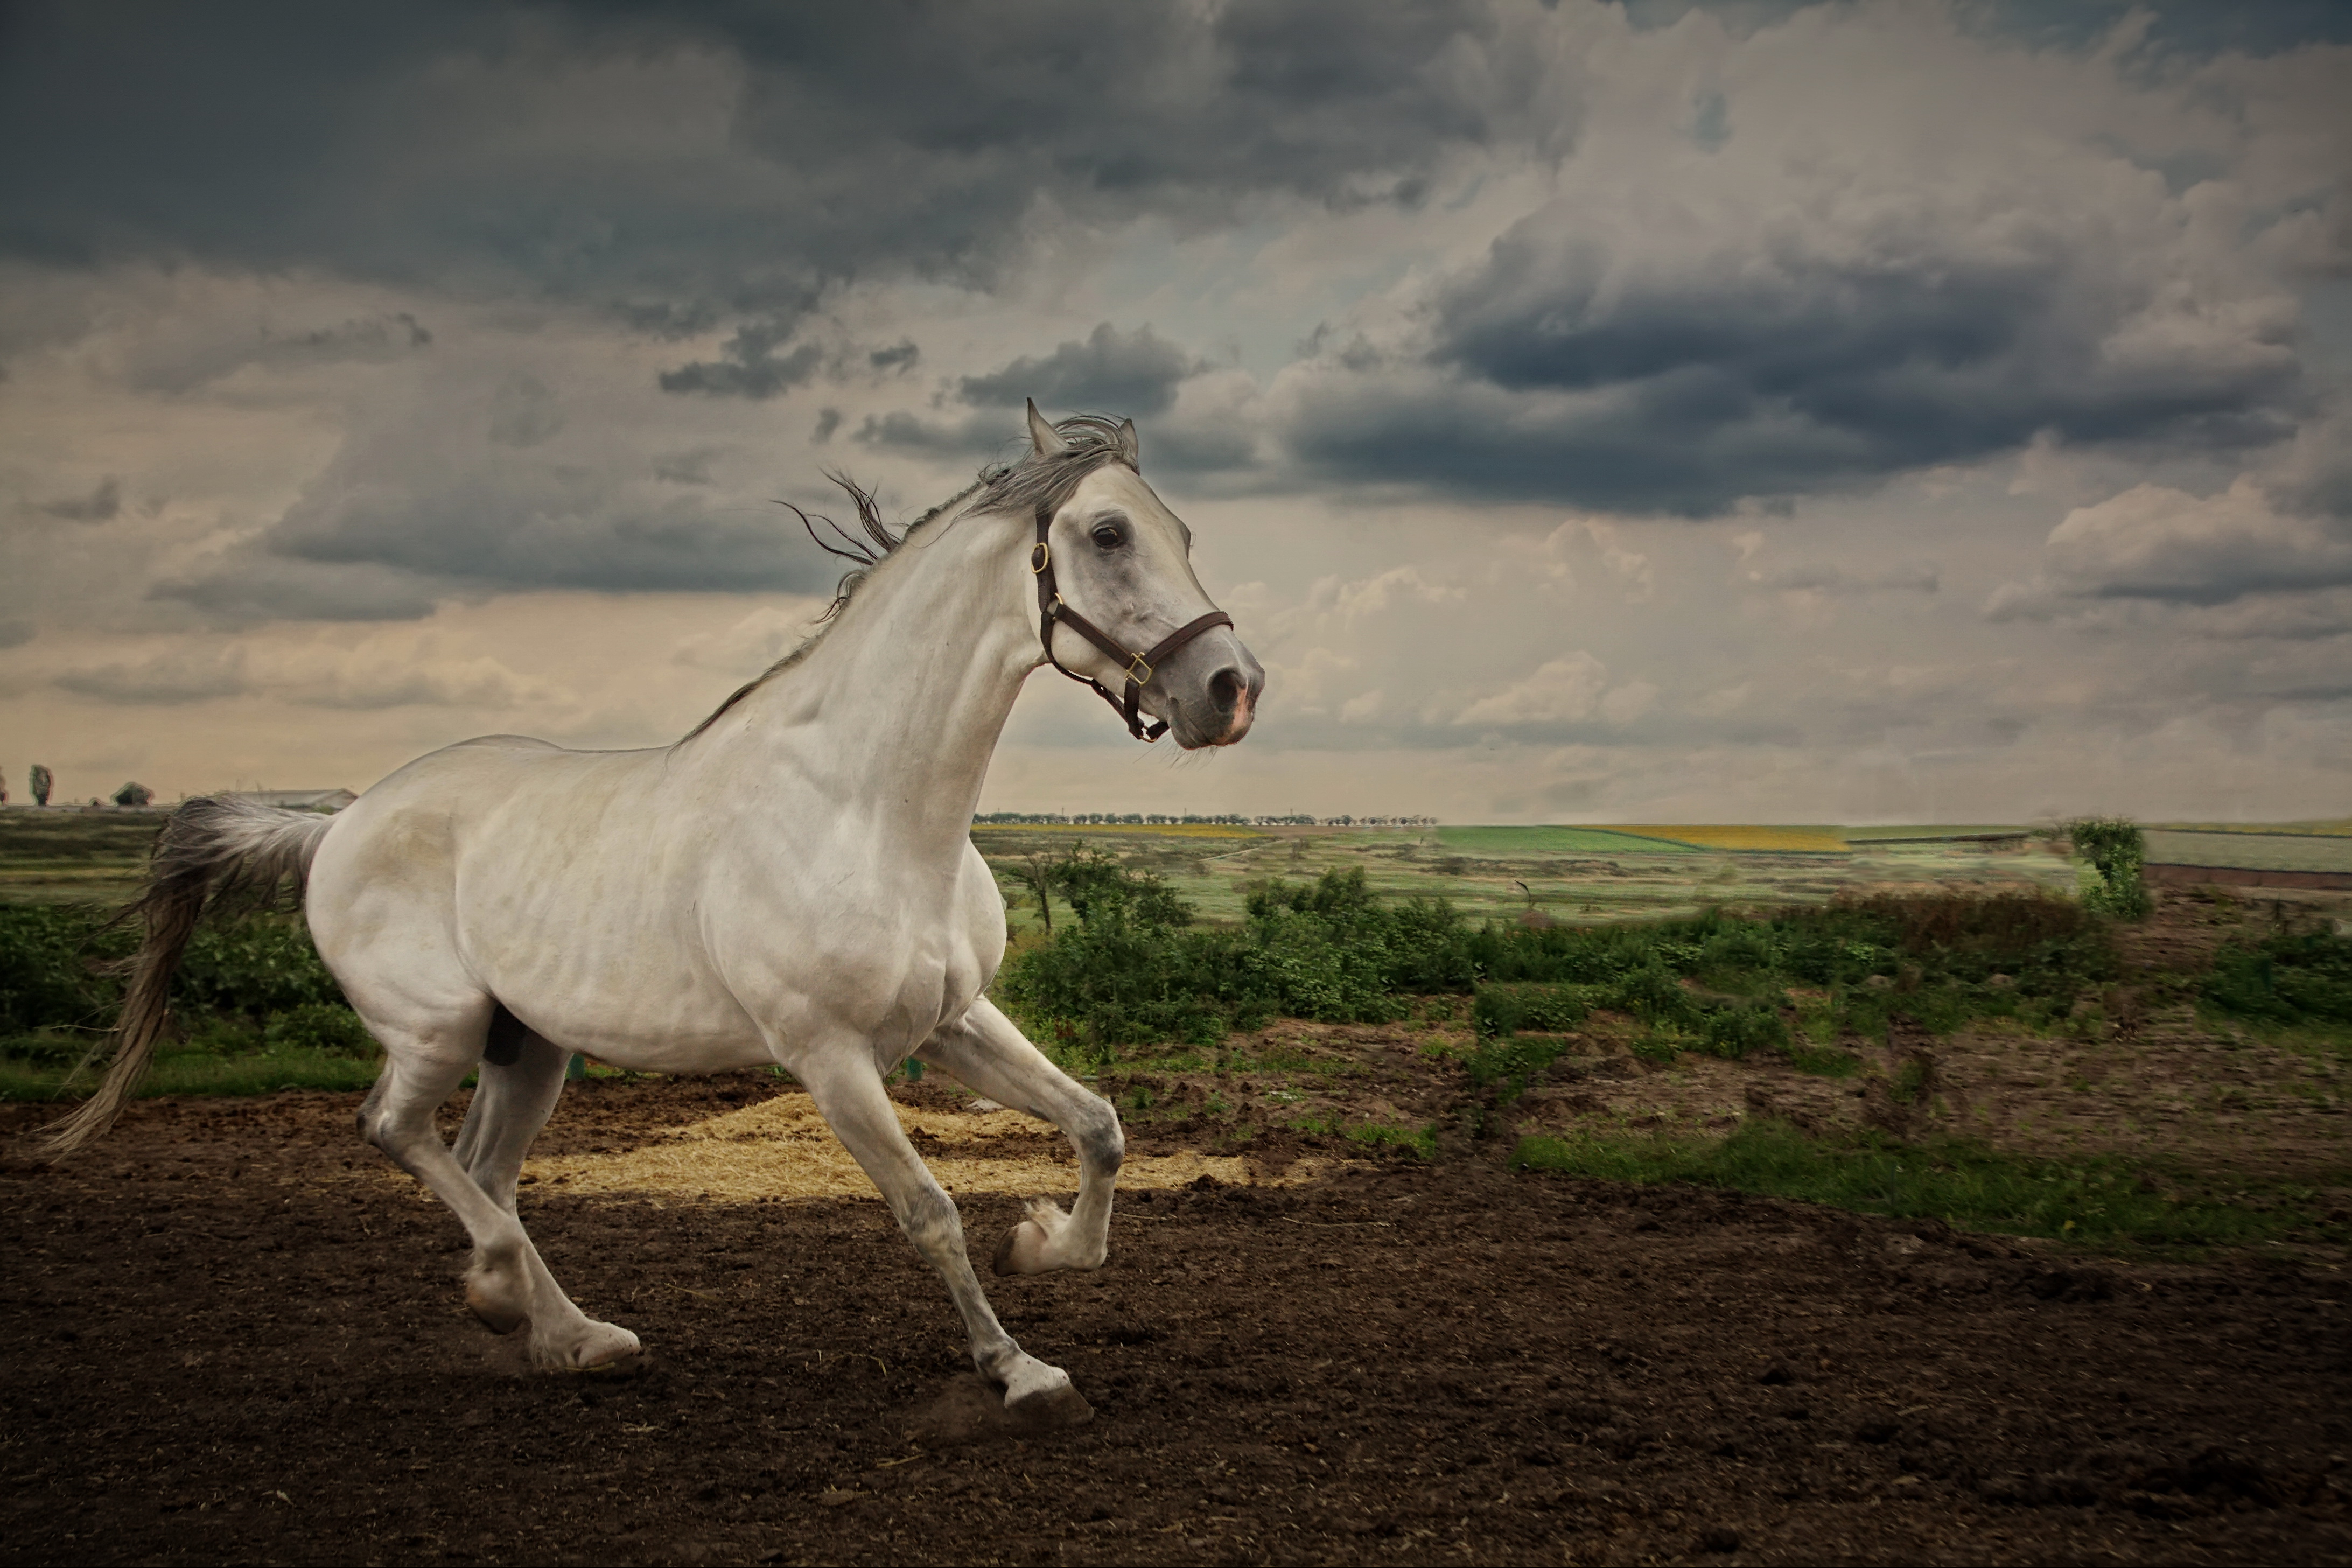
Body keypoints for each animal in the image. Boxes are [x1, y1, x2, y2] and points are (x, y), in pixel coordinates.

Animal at [50, 402, 1270, 1419]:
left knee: (484, 1166)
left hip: (528, 1045)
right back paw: (509, 1294)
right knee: (394, 1132)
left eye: (1182, 530)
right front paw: (1019, 1371)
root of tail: (338, 822)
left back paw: (563, 1331)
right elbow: (929, 1209)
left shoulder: (952, 1024)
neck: (867, 810)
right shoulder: (828, 1056)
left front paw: (1042, 1242)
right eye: (1107, 534)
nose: (1231, 690)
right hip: (435, 1029)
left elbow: (1100, 1126)